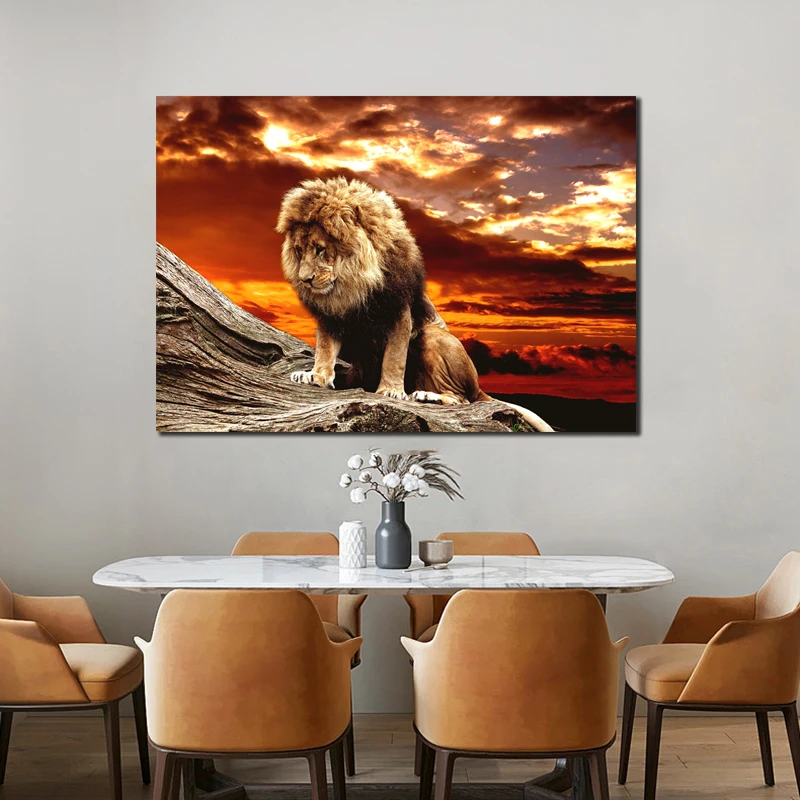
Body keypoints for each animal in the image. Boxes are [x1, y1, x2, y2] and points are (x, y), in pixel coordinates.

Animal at [276, 177, 553, 432]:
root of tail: (479, 387)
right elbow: (325, 349)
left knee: (461, 400)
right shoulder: (331, 316)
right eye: (299, 250)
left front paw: (390, 391)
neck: (353, 285)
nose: (305, 279)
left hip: (431, 336)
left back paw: (425, 396)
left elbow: (395, 356)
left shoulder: (399, 310)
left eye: (321, 249)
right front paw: (315, 376)